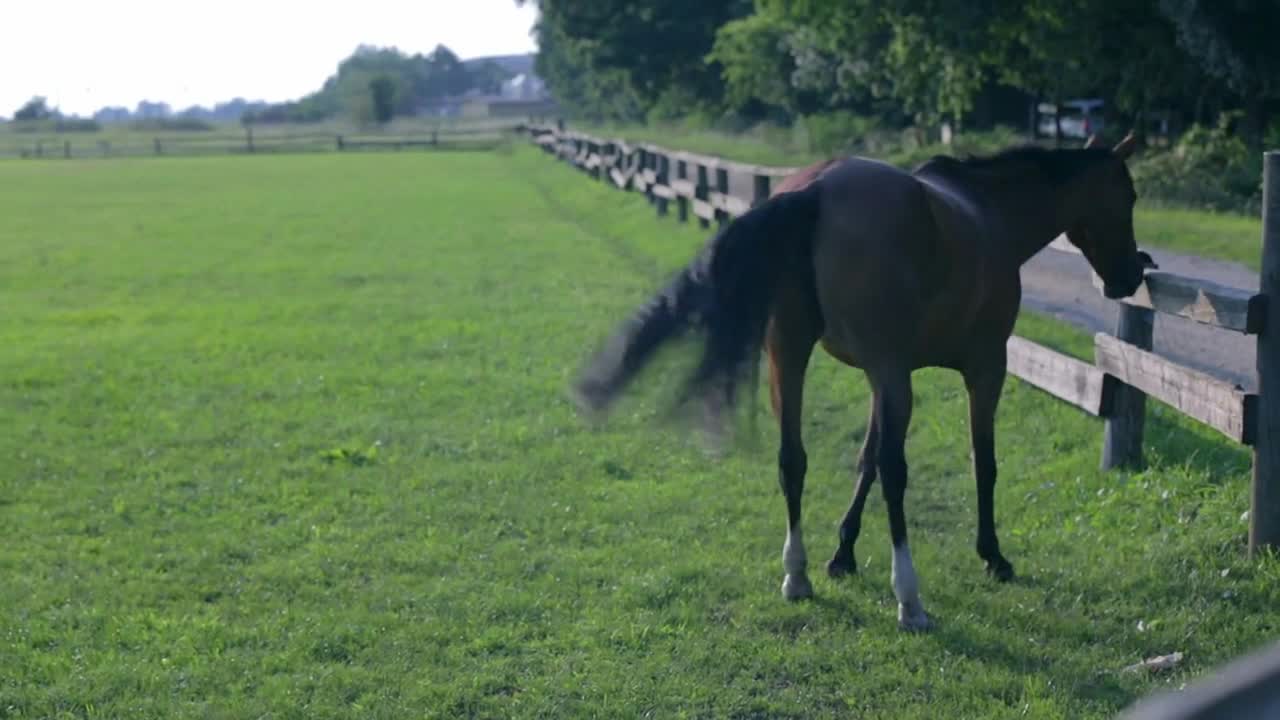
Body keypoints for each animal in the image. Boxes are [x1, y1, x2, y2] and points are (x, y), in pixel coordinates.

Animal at [570, 134, 1152, 627]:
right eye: (1127, 196)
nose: (1130, 276)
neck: (989, 215)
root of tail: (816, 191)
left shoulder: (881, 377)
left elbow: (865, 459)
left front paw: (842, 554)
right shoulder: (978, 369)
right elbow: (979, 464)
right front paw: (993, 555)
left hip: (791, 358)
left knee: (792, 459)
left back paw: (797, 575)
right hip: (886, 372)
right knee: (895, 473)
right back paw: (909, 599)